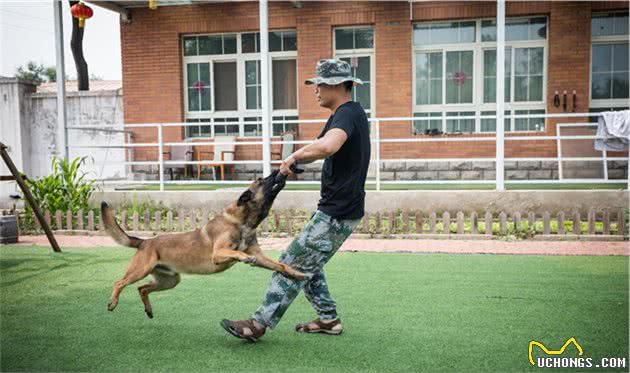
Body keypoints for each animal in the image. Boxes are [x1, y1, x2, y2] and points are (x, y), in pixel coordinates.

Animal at [100, 169, 304, 316]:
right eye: (261, 180)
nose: (279, 170)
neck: (241, 221)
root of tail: (144, 242)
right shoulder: (218, 254)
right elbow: (237, 252)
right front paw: (243, 257)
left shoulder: (260, 256)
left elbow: (280, 265)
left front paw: (296, 272)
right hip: (140, 270)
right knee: (120, 282)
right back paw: (112, 302)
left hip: (170, 280)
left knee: (142, 289)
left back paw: (148, 310)